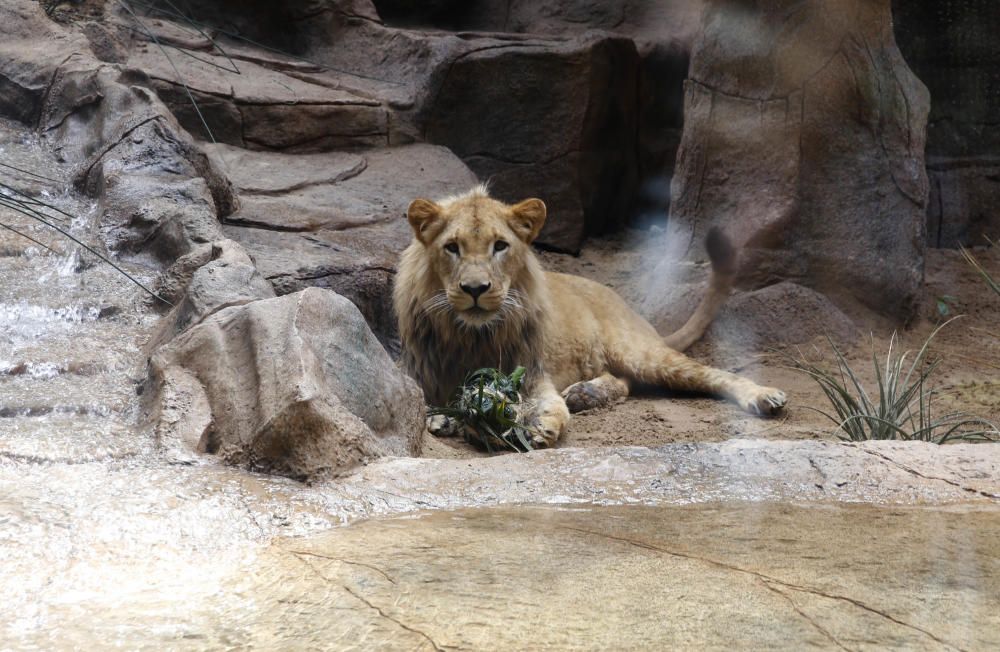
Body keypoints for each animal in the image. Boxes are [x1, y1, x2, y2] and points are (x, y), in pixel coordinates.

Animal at [392, 186, 788, 446]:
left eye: (500, 246)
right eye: (452, 247)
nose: (476, 288)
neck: (473, 336)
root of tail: (627, 306)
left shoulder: (533, 374)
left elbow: (549, 405)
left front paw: (540, 425)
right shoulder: (416, 370)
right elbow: (423, 399)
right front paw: (446, 416)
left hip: (639, 352)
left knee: (707, 373)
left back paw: (764, 397)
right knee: (623, 381)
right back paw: (585, 394)